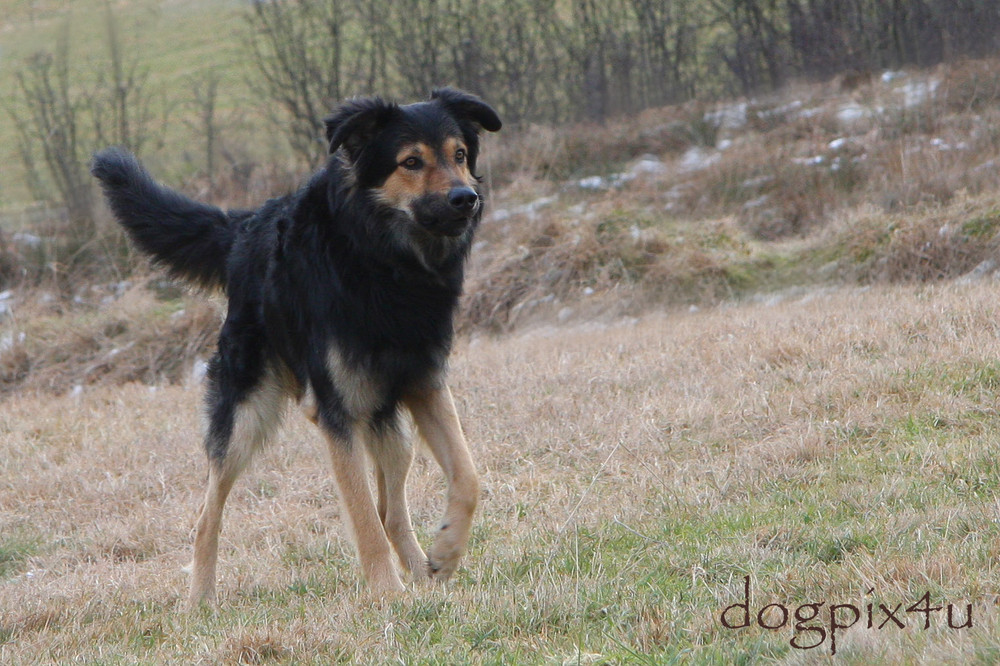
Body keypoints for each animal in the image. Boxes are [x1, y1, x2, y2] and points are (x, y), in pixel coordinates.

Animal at [89, 85, 500, 604]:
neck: (382, 260)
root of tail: (247, 228)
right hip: (244, 417)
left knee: (391, 508)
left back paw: (424, 574)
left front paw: (445, 552)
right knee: (207, 516)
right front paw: (388, 597)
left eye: (459, 154)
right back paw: (200, 600)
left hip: (391, 428)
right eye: (411, 162)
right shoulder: (334, 412)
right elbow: (362, 518)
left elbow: (467, 477)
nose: (466, 199)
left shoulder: (424, 383)